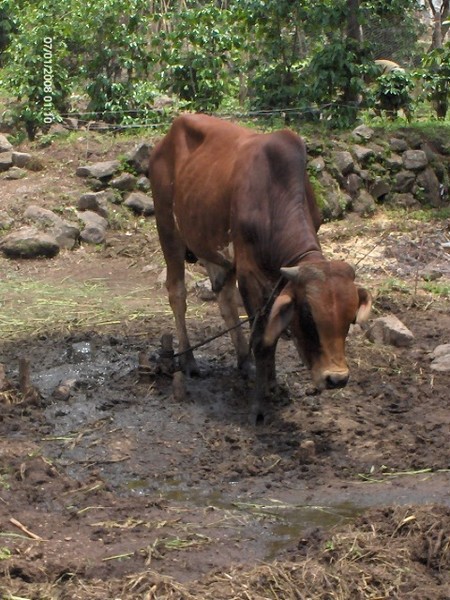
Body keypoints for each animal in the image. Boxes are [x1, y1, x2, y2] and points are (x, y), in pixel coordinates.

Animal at [149, 113, 370, 422]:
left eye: (350, 320)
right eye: (309, 318)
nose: (336, 379)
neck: (274, 195)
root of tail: (168, 136)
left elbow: (271, 330)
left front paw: (272, 384)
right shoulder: (248, 272)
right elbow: (261, 337)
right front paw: (258, 405)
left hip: (210, 243)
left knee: (224, 298)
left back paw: (244, 362)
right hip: (168, 230)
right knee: (177, 293)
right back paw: (189, 361)